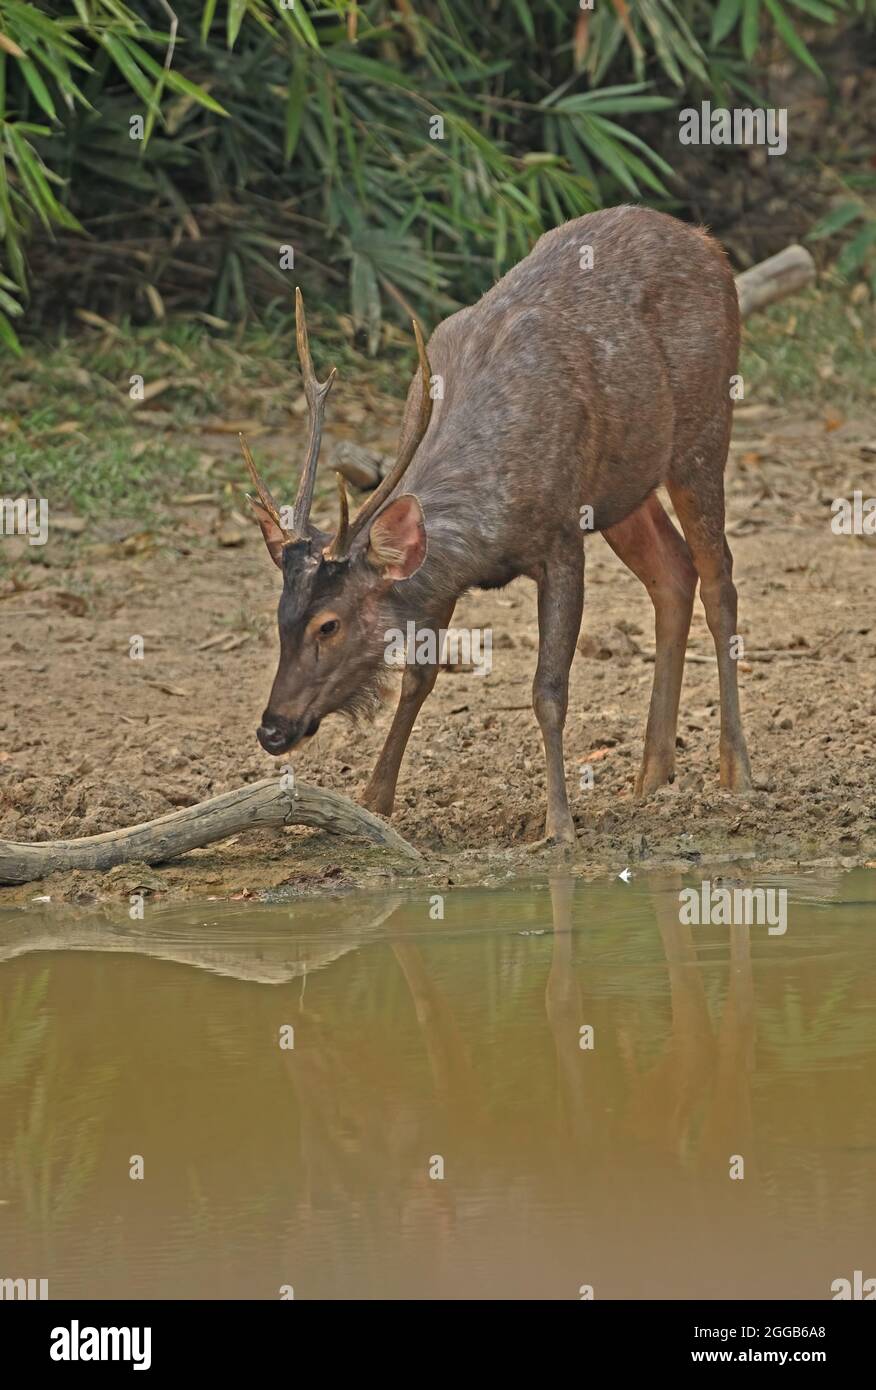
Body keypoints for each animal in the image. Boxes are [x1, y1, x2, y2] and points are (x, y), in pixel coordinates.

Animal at [246, 201, 756, 839]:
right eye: (281, 619)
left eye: (329, 625)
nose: (272, 729)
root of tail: (708, 243)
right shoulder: (442, 579)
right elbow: (418, 677)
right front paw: (374, 800)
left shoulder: (561, 537)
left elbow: (548, 690)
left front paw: (559, 822)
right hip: (626, 486)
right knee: (673, 573)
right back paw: (652, 774)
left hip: (705, 428)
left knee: (719, 579)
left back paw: (735, 769)